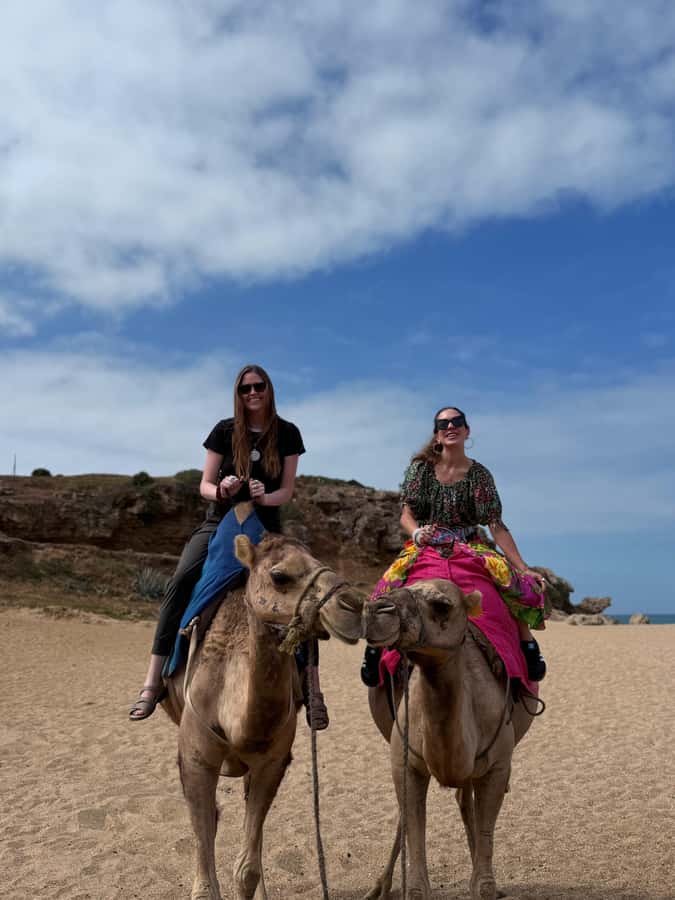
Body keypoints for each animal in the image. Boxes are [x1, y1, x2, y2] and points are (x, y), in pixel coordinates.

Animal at [161, 504, 365, 900]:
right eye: (279, 575)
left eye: (321, 560)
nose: (352, 605)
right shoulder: (195, 758)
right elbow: (205, 882)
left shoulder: (273, 761)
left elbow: (247, 870)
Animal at [363, 579, 537, 900]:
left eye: (441, 605)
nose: (377, 608)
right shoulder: (405, 761)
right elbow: (413, 830)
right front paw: (408, 885)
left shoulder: (498, 765)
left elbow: (485, 830)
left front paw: (485, 883)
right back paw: (380, 886)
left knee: (466, 801)